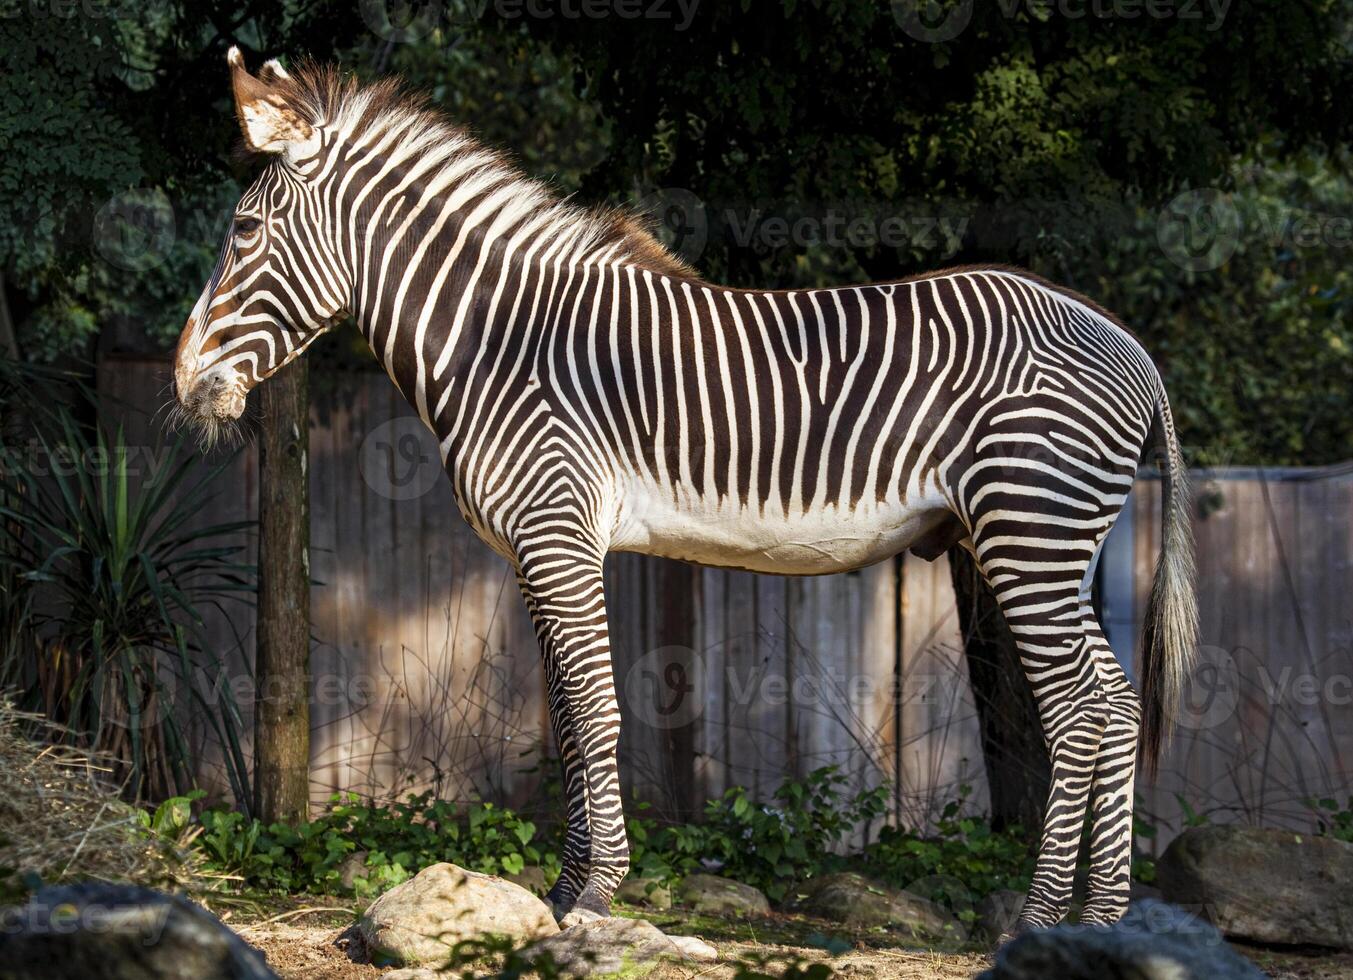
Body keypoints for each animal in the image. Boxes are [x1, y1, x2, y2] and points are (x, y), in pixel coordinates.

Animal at [177, 49, 1196, 936]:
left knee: (1079, 711)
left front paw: (596, 893)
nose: (187, 383)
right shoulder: (540, 550)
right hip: (1052, 545)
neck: (496, 341)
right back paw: (1100, 920)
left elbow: (594, 710)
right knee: (1115, 705)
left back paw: (1039, 918)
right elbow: (565, 716)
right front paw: (562, 891)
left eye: (242, 233)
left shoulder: (556, 533)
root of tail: (1130, 345)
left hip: (1028, 532)